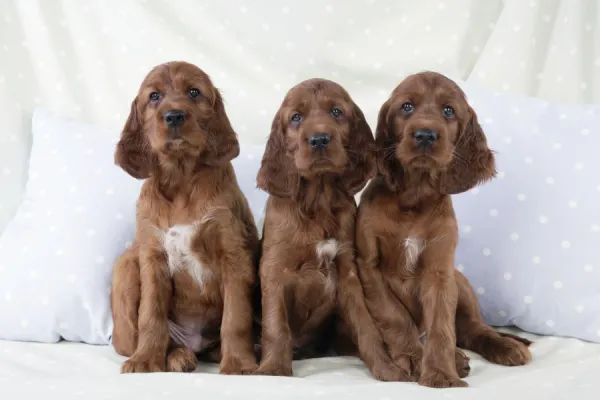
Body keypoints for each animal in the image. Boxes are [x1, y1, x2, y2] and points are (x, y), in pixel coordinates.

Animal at [110, 61, 258, 374]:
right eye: (154, 96)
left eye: (194, 92)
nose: (174, 115)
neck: (181, 181)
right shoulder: (152, 256)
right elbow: (150, 314)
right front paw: (145, 360)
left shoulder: (233, 254)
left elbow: (236, 318)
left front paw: (239, 365)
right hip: (125, 266)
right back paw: (176, 356)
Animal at [253, 78, 412, 382]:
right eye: (296, 118)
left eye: (336, 112)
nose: (319, 139)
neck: (319, 201)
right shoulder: (274, 267)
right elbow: (276, 324)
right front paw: (273, 370)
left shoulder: (348, 271)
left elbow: (367, 327)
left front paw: (388, 370)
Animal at [354, 72, 532, 388]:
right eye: (407, 107)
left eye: (448, 111)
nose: (425, 135)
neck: (413, 198)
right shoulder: (369, 266)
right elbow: (395, 316)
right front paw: (413, 357)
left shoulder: (440, 271)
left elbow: (441, 326)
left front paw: (440, 373)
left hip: (459, 282)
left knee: (474, 329)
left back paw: (503, 346)